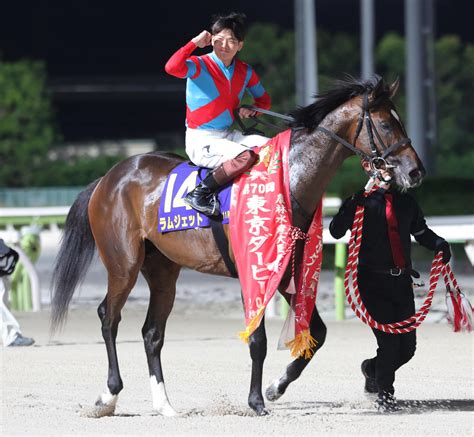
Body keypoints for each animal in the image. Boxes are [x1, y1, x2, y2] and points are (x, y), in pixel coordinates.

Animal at [50, 76, 424, 416]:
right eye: (387, 124)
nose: (416, 171)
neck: (289, 181)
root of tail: (110, 177)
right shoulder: (252, 271)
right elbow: (257, 340)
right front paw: (256, 401)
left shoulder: (287, 272)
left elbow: (317, 332)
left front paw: (275, 387)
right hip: (123, 264)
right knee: (109, 317)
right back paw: (108, 396)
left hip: (163, 270)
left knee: (152, 332)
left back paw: (165, 404)